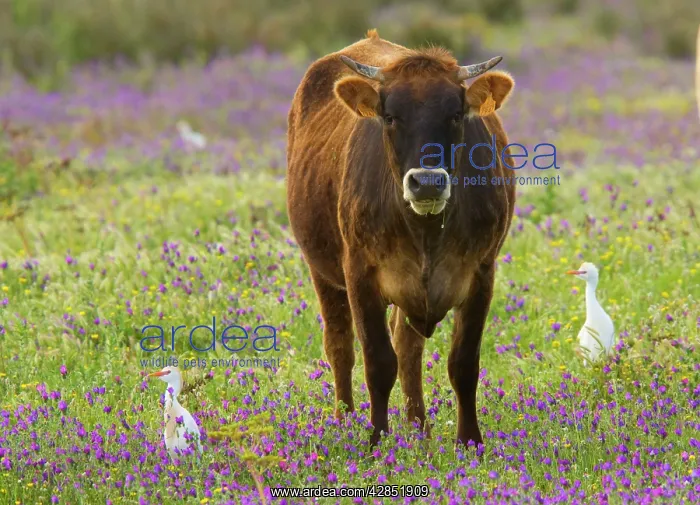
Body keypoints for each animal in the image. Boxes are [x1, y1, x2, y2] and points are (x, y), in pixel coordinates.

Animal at [286, 29, 516, 447]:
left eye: (455, 114)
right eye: (390, 117)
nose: (427, 182)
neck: (426, 230)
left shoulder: (481, 273)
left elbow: (463, 363)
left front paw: (470, 443)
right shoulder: (359, 274)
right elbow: (378, 361)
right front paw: (376, 441)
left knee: (409, 349)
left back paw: (418, 427)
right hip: (321, 270)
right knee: (340, 346)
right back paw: (344, 421)